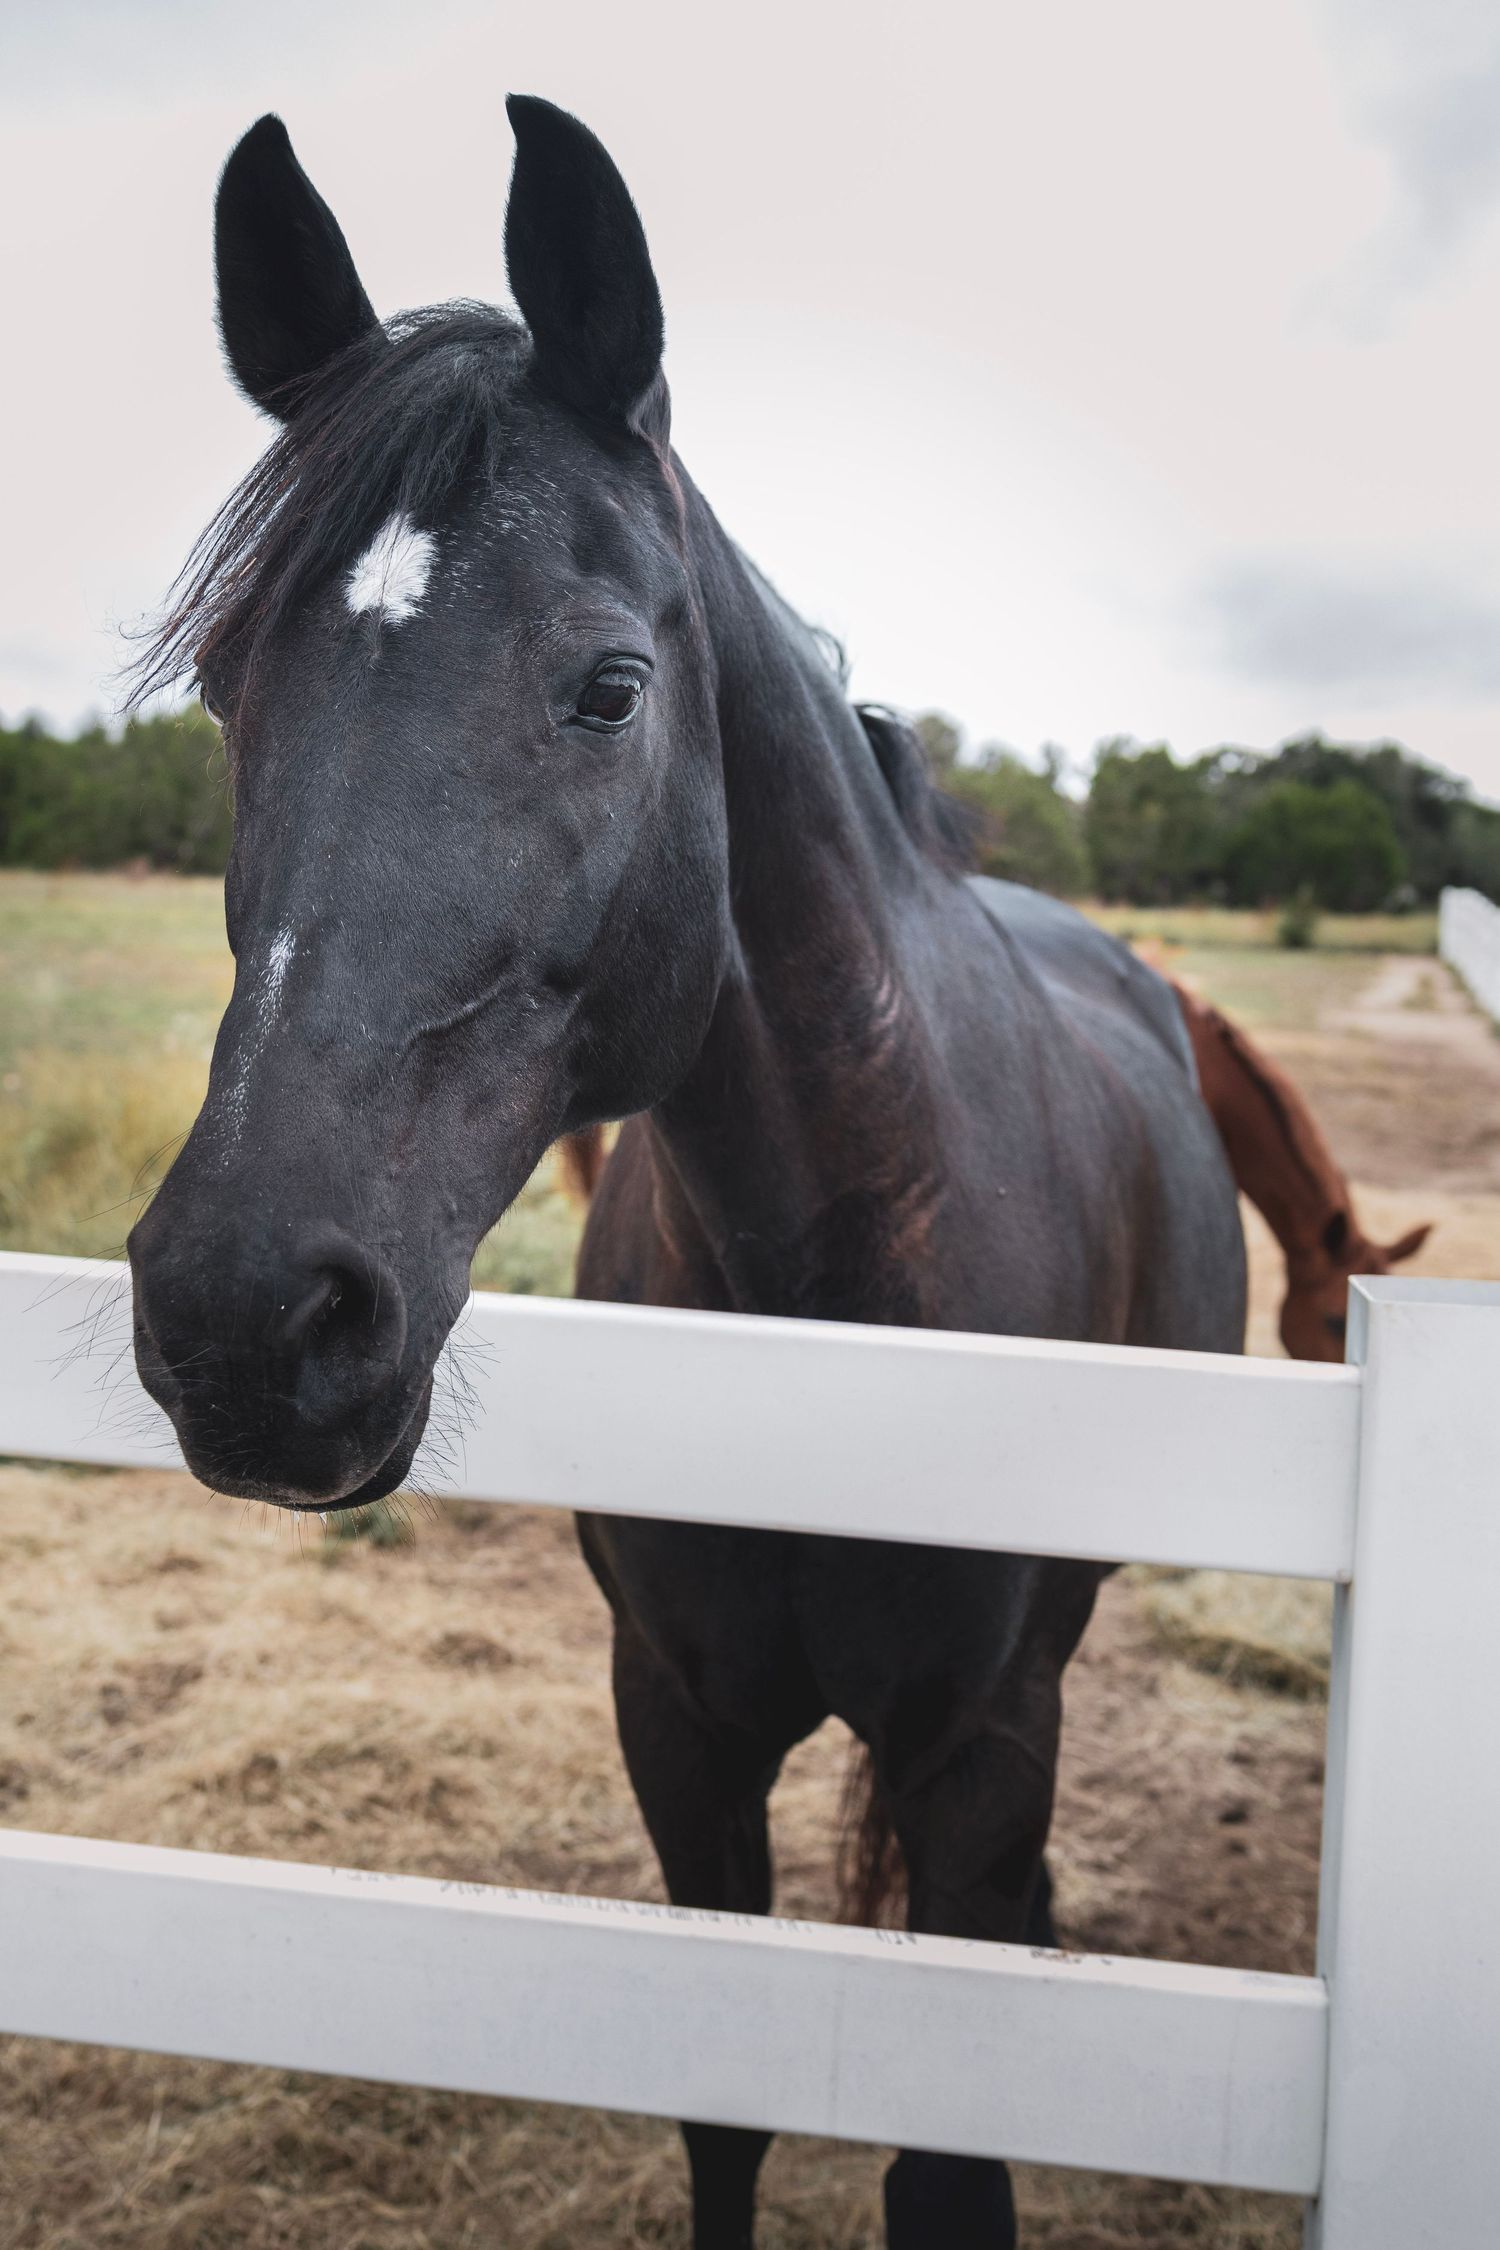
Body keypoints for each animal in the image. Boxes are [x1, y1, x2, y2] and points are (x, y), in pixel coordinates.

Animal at [126, 99, 1246, 2249]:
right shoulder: (682, 1726)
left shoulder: (982, 1745)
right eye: (231, 690)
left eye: (612, 688)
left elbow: (947, 2177)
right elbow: (720, 2115)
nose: (245, 1317)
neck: (838, 1305)